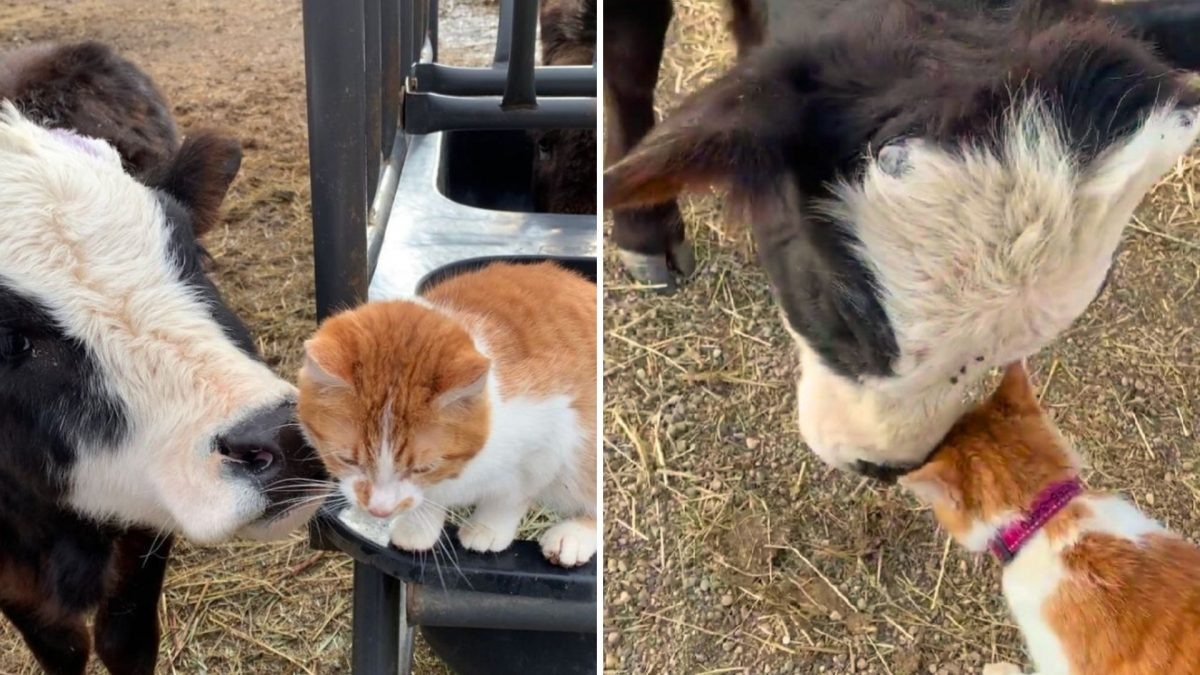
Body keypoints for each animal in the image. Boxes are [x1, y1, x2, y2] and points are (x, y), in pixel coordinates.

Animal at [0, 43, 324, 672]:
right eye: (7, 341)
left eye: (193, 253)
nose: (283, 435)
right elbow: (60, 648)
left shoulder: (141, 534)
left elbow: (124, 640)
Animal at [297, 260, 597, 564]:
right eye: (346, 459)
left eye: (421, 468)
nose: (380, 510)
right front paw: (418, 527)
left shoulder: (546, 445)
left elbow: (510, 498)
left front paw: (487, 528)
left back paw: (572, 537)